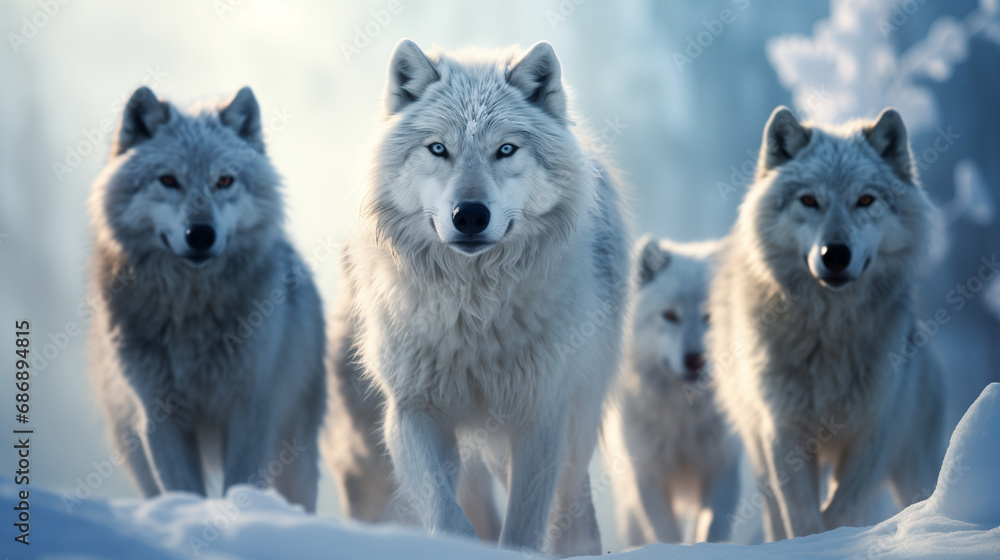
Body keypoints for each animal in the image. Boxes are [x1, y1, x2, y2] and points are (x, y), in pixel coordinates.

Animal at [88, 86, 326, 511]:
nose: (200, 234)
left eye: (224, 180)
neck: (189, 313)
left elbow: (239, 483)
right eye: (168, 180)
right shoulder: (158, 415)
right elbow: (184, 490)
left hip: (296, 447)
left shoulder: (249, 408)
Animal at [342, 39, 630, 556]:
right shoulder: (413, 412)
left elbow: (523, 526)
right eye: (439, 148)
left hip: (576, 418)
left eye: (506, 150)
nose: (471, 215)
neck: (471, 310)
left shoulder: (541, 415)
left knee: (572, 501)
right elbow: (445, 512)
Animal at [603, 235, 740, 546]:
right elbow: (666, 533)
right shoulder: (648, 475)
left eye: (710, 316)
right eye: (669, 315)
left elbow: (712, 528)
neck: (684, 412)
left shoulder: (722, 467)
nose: (695, 359)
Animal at [708, 106, 945, 540]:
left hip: (913, 468)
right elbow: (803, 516)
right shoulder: (783, 432)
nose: (834, 253)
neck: (828, 339)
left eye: (865, 200)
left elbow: (843, 508)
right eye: (809, 200)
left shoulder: (871, 430)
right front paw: (812, 542)